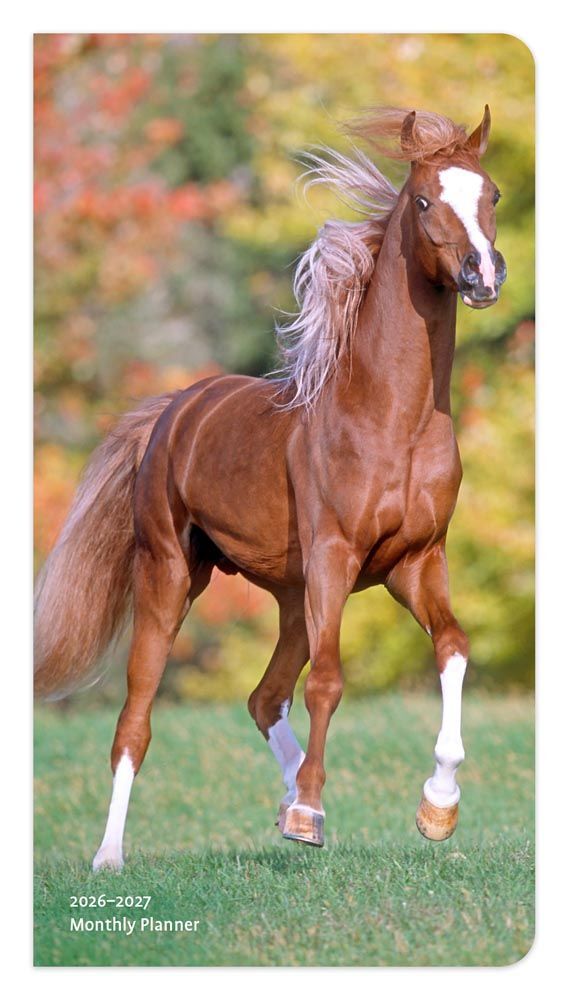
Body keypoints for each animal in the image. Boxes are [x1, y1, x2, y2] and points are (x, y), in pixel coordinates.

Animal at [34, 106, 507, 869]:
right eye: (424, 200)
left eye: (490, 193)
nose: (482, 274)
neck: (391, 418)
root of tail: (174, 410)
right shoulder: (336, 558)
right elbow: (329, 682)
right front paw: (310, 812)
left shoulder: (414, 562)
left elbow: (453, 647)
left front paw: (437, 807)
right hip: (172, 576)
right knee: (136, 721)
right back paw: (112, 855)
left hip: (292, 597)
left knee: (263, 698)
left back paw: (286, 803)